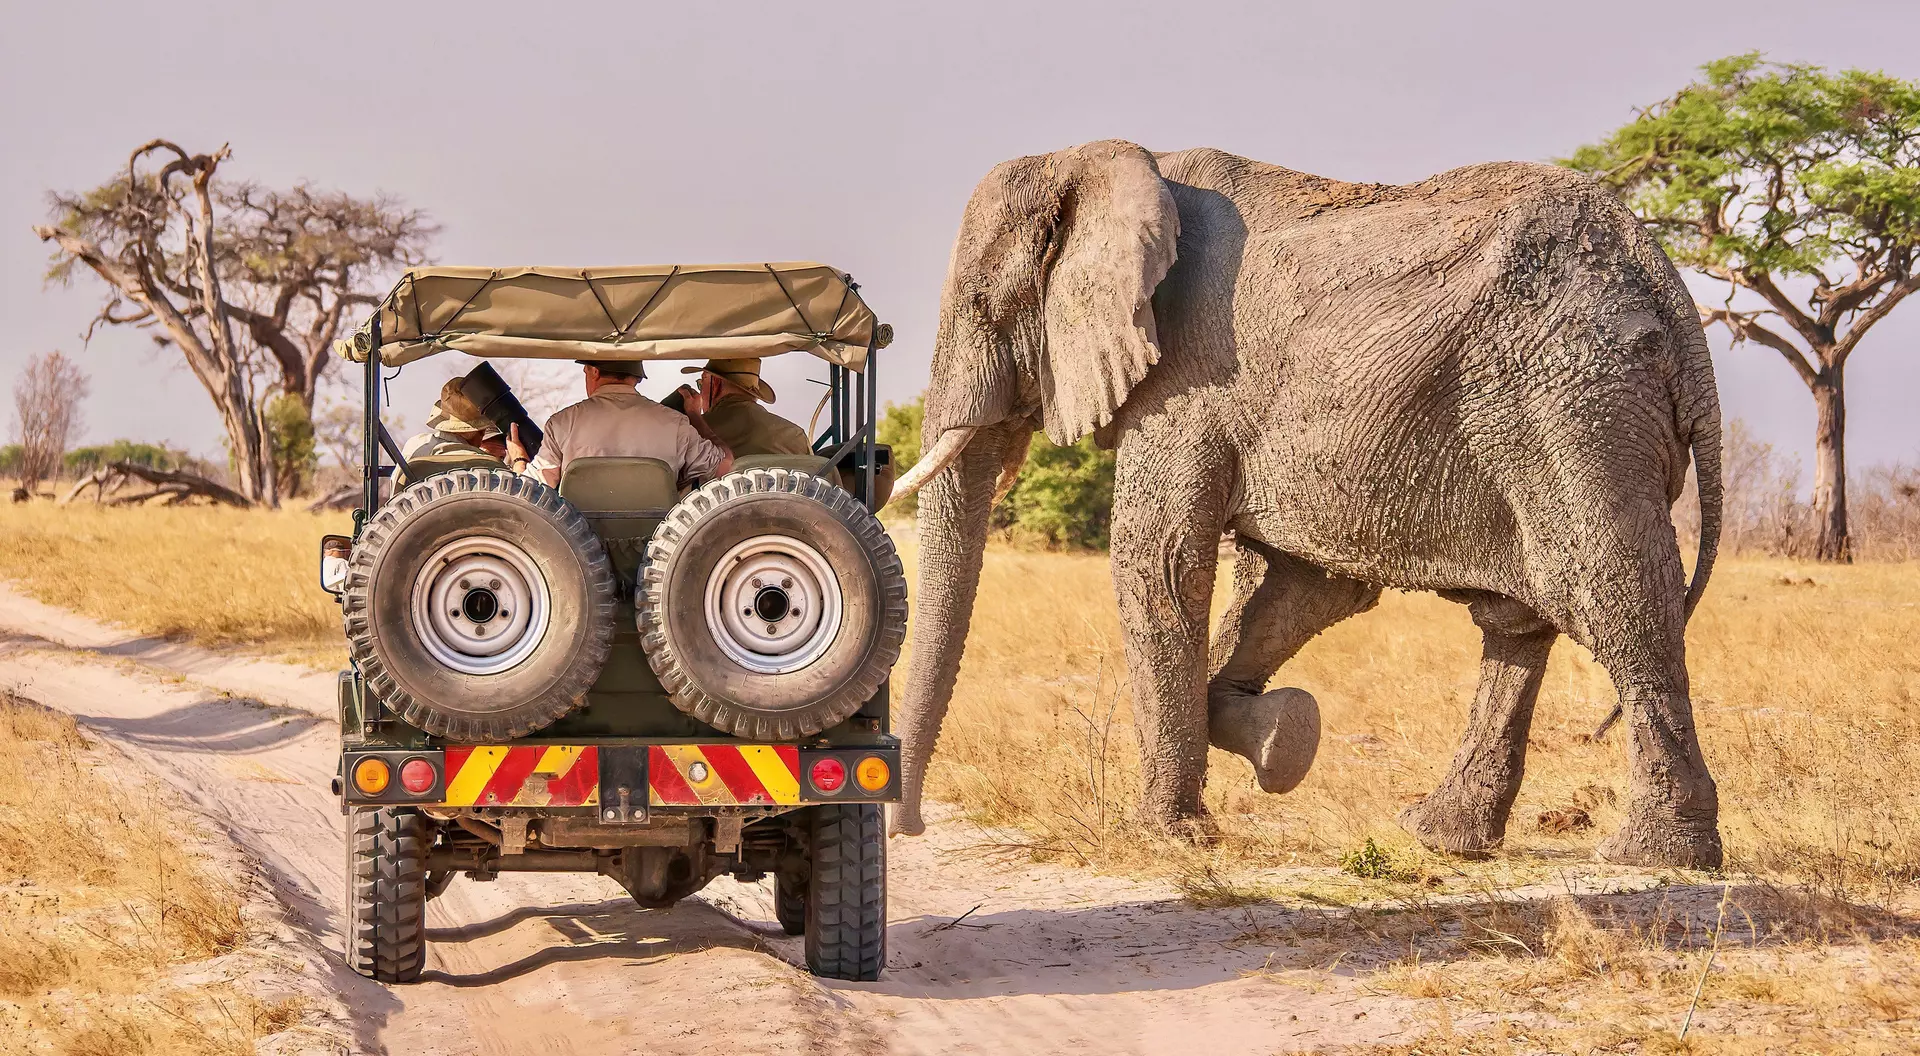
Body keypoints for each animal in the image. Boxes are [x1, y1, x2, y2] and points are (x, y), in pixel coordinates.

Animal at [884, 140, 1725, 869]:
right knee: (1518, 622)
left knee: (1612, 597)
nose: (909, 827)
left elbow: (1159, 562)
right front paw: (1284, 739)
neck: (1102, 162)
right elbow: (1307, 587)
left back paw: (1654, 857)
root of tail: (1671, 294)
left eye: (986, 303)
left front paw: (1165, 836)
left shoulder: (1188, 381)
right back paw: (1439, 836)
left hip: (1576, 403)